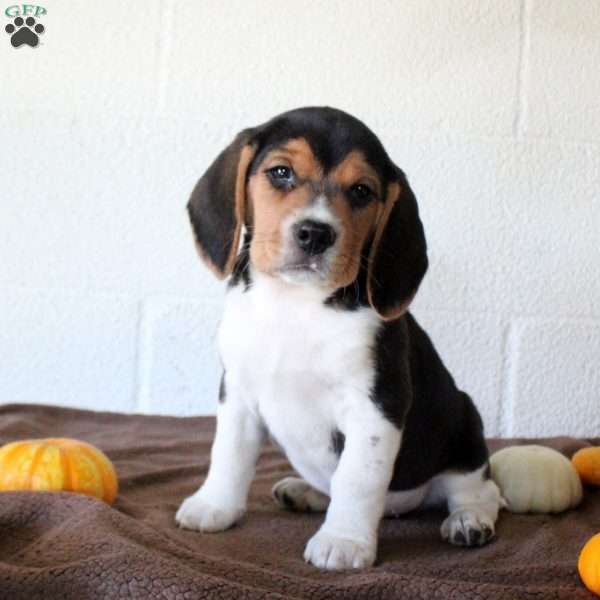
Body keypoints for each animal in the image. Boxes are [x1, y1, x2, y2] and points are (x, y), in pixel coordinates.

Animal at [176, 105, 504, 568]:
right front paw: (214, 506)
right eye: (281, 172)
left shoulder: (375, 407)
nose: (315, 233)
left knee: (479, 490)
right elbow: (229, 454)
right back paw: (304, 491)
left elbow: (356, 479)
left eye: (362, 191)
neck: (294, 305)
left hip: (465, 426)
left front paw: (344, 541)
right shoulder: (237, 394)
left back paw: (468, 521)